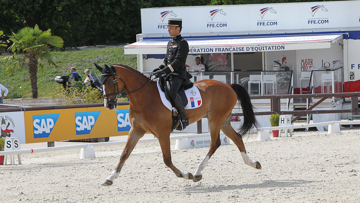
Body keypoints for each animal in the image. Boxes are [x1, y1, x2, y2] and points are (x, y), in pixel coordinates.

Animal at [94, 63, 260, 186]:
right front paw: (109, 178)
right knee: (237, 137)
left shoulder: (162, 133)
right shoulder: (136, 131)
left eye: (110, 82)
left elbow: (167, 159)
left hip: (215, 120)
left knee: (215, 143)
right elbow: (124, 154)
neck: (144, 98)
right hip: (223, 120)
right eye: (101, 84)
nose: (109, 104)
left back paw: (197, 173)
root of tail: (229, 85)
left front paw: (185, 174)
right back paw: (253, 163)